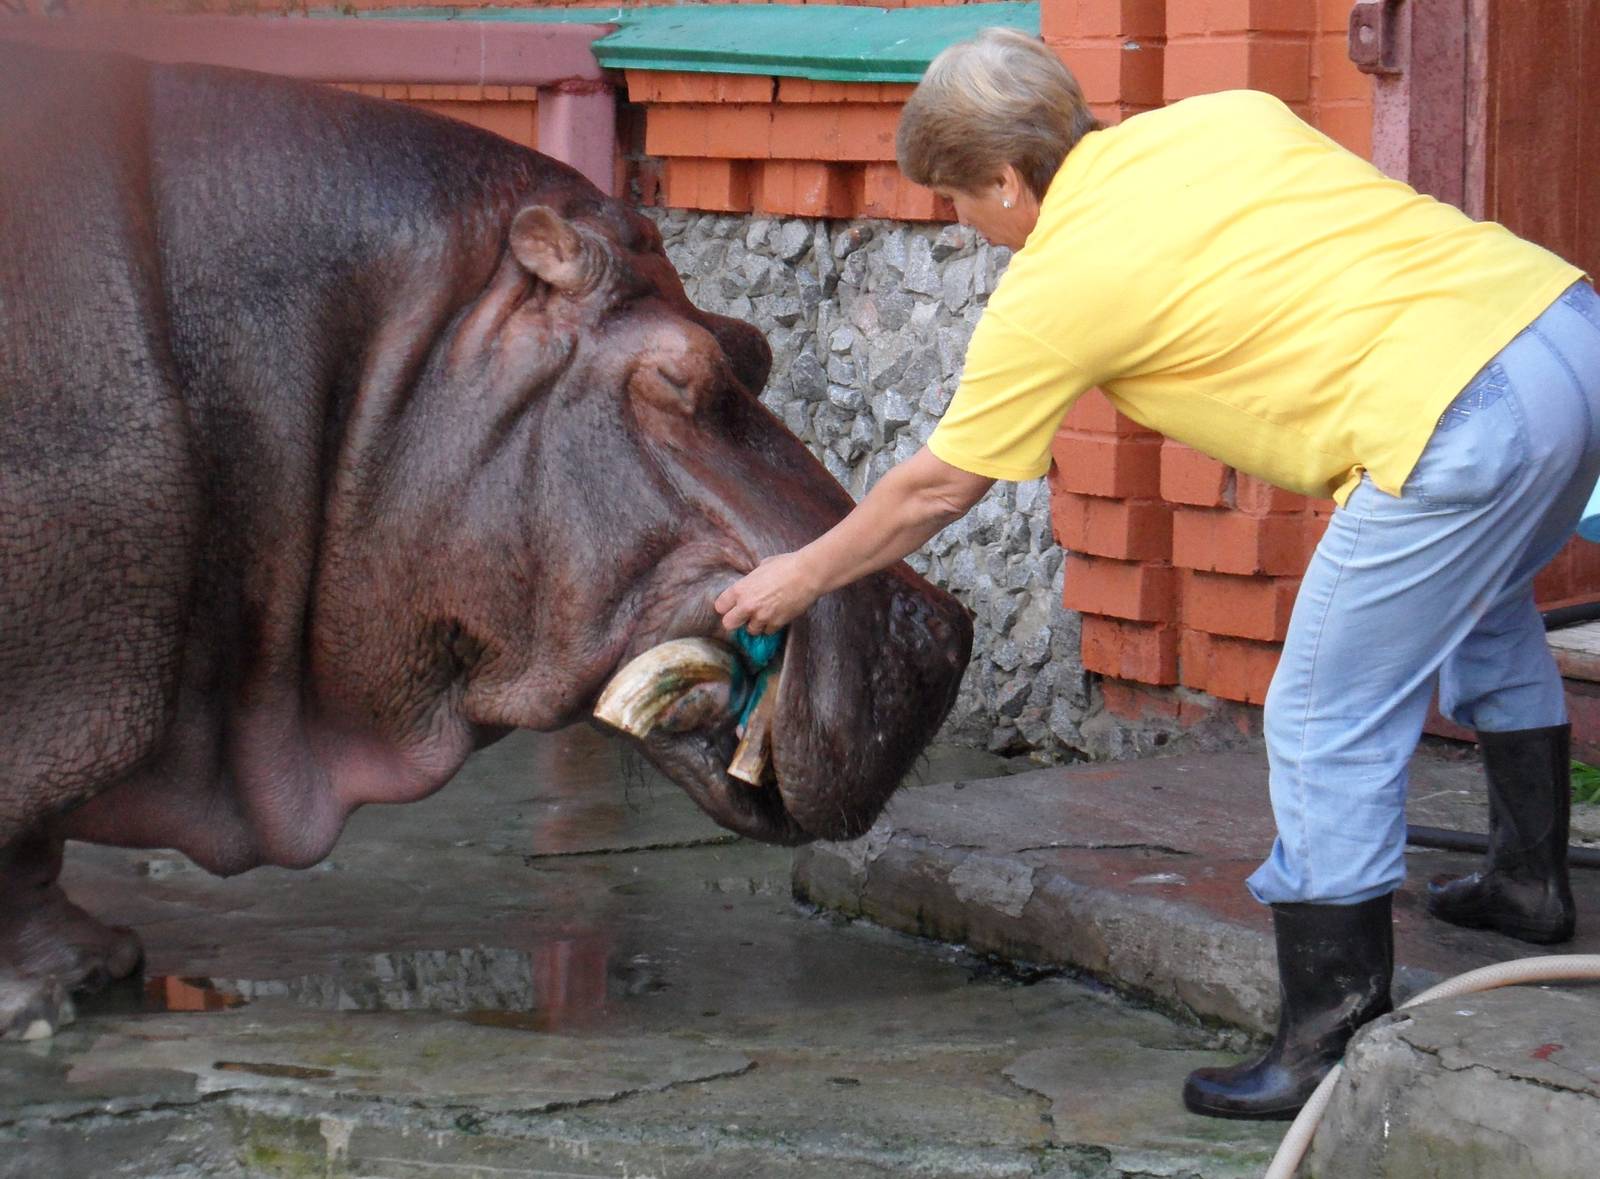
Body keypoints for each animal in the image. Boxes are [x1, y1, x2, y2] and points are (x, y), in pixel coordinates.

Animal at [0, 41, 972, 1040]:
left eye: (756, 347)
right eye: (686, 374)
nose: (941, 627)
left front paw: (93, 965)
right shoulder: (64, 684)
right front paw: (46, 995)